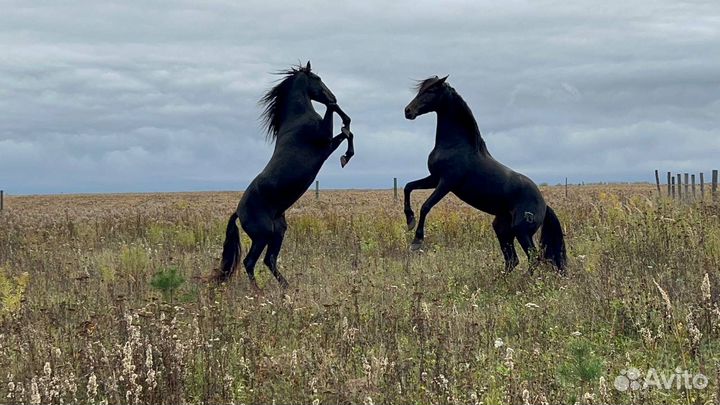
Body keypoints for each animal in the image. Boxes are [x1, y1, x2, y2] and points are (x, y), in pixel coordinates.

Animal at [219, 61, 354, 288]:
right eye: (316, 78)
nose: (332, 95)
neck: (297, 118)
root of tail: (238, 212)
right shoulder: (324, 139)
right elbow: (336, 115)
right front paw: (346, 151)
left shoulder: (328, 145)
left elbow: (347, 133)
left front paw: (346, 155)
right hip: (263, 235)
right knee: (250, 262)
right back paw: (260, 292)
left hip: (278, 231)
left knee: (269, 260)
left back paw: (287, 288)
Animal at [402, 75, 564, 274]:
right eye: (420, 89)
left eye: (431, 90)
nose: (408, 111)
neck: (456, 145)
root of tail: (544, 204)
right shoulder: (434, 178)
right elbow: (408, 187)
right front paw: (409, 220)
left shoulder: (447, 182)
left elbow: (426, 206)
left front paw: (416, 241)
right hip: (502, 229)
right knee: (512, 259)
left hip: (521, 231)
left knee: (533, 257)